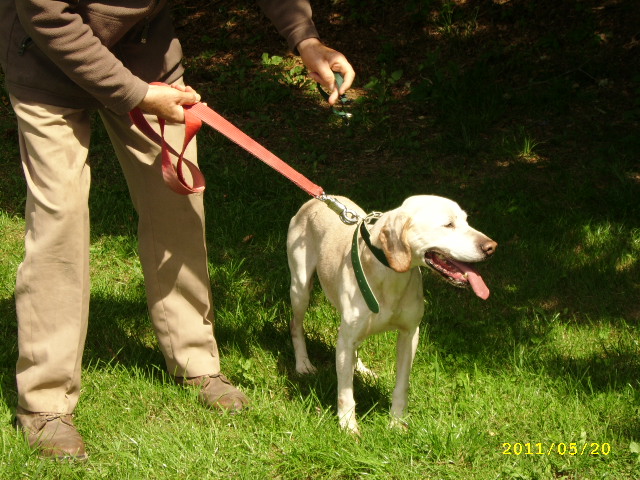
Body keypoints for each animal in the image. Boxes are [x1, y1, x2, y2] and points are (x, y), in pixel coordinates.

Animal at [288, 193, 498, 434]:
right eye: (448, 224)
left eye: (466, 221)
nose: (491, 247)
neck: (390, 274)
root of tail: (318, 199)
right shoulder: (347, 338)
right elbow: (345, 392)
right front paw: (348, 426)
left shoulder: (410, 335)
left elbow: (401, 385)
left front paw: (396, 422)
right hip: (300, 288)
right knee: (296, 325)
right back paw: (303, 365)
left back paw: (361, 369)